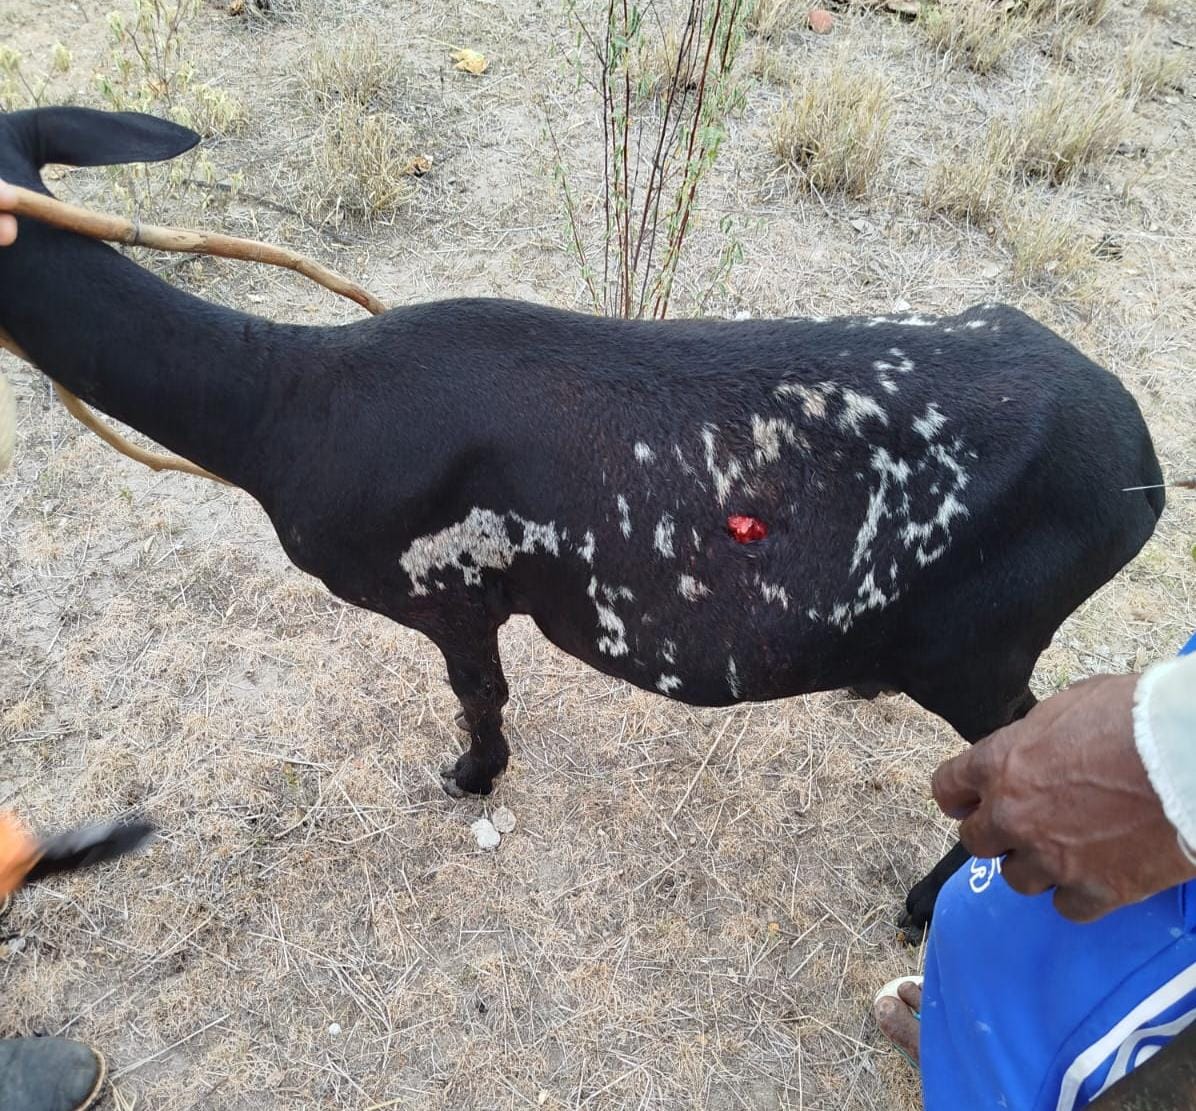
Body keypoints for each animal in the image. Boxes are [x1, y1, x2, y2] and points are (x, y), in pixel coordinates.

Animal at [0, 106, 1162, 937]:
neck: (287, 404)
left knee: (1025, 752)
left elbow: (479, 696)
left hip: (979, 644)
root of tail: (1143, 475)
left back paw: (925, 908)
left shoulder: (450, 588)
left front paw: (469, 778)